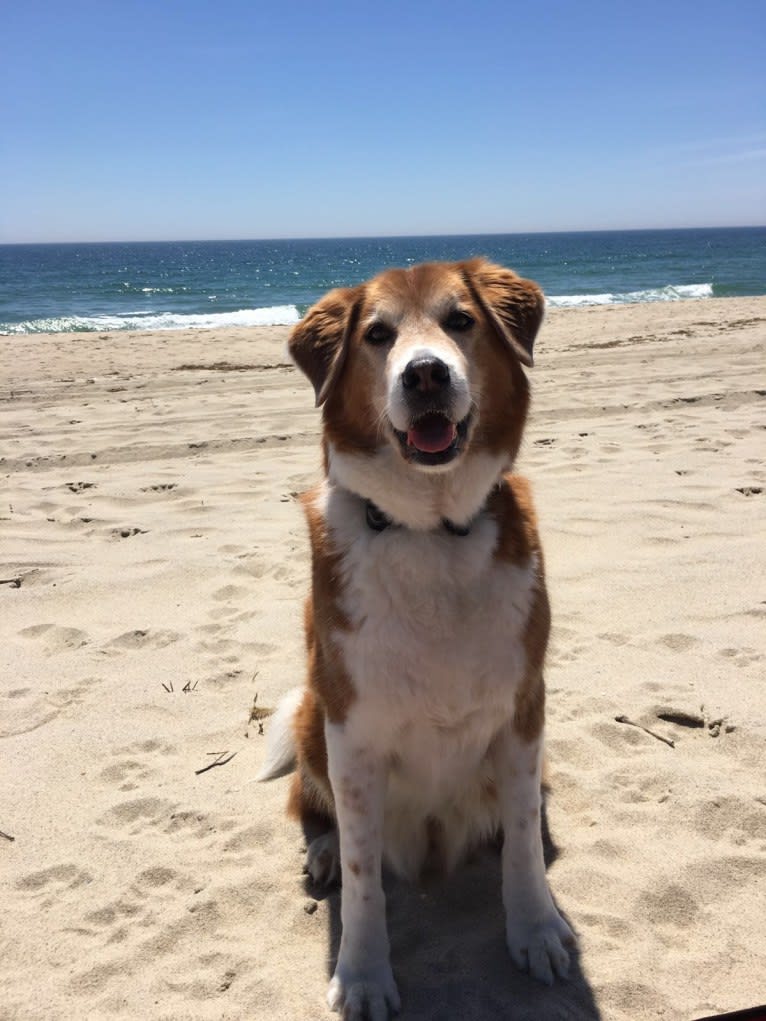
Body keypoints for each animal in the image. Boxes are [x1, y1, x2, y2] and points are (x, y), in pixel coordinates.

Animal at [258, 259, 576, 1016]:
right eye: (377, 335)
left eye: (461, 320)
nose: (425, 373)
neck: (430, 532)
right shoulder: (350, 729)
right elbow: (363, 874)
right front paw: (364, 973)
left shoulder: (525, 711)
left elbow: (523, 842)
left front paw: (535, 927)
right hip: (312, 711)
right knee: (312, 807)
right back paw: (320, 852)